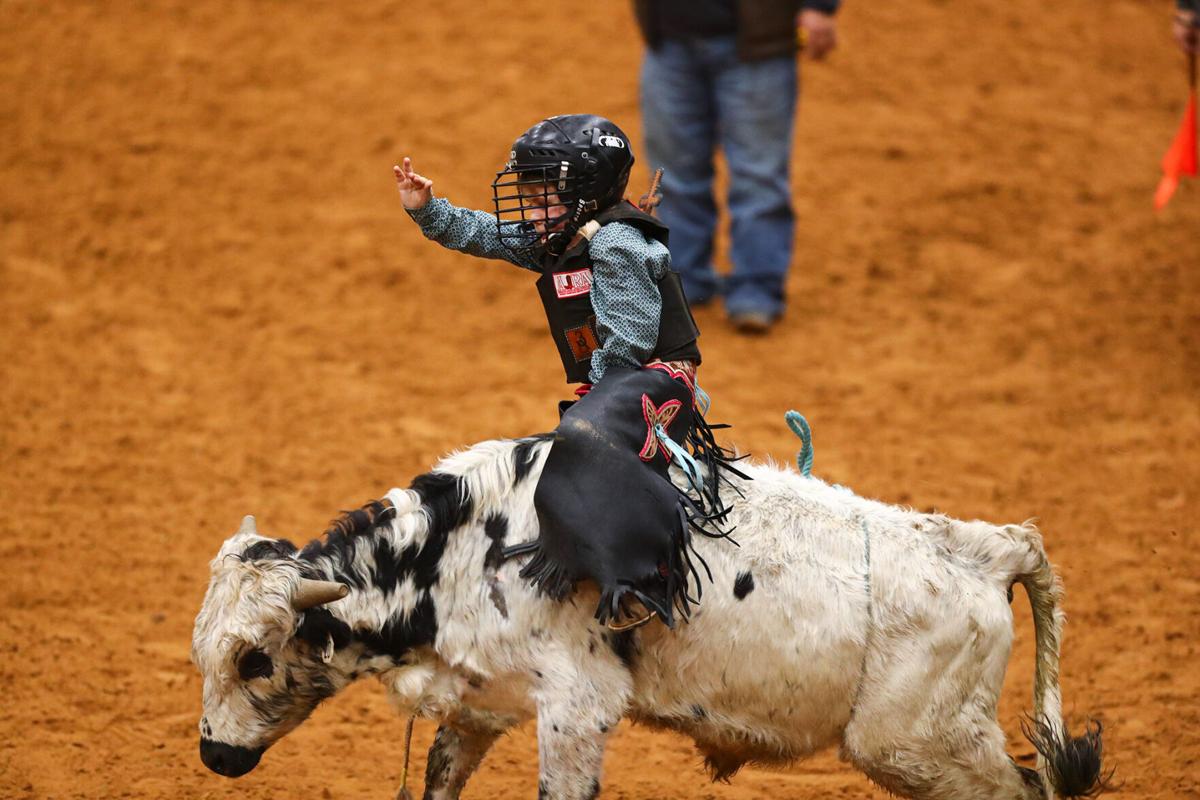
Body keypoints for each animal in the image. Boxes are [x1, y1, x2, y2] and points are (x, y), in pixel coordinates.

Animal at [189, 438, 1104, 800]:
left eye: (254, 660)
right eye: (203, 656)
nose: (212, 755)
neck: (462, 547)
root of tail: (988, 549)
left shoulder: (577, 710)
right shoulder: (482, 700)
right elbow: (441, 776)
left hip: (923, 742)